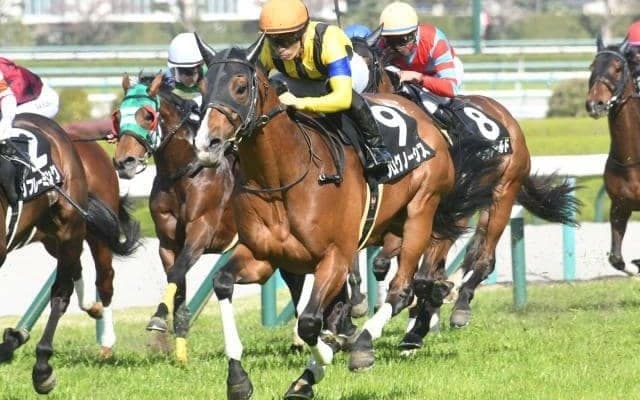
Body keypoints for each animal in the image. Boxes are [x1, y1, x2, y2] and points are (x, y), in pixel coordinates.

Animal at [192, 33, 501, 399]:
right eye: (203, 87)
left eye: (240, 87)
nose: (206, 144)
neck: (284, 174)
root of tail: (428, 121)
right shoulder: (263, 255)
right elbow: (223, 283)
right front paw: (239, 378)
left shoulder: (335, 258)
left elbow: (310, 321)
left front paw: (326, 354)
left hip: (421, 210)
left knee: (403, 288)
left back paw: (367, 344)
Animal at [350, 29, 581, 348]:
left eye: (369, 64)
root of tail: (505, 115)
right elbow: (385, 258)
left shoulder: (441, 207)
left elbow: (421, 271)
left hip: (502, 193)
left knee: (483, 258)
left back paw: (457, 306)